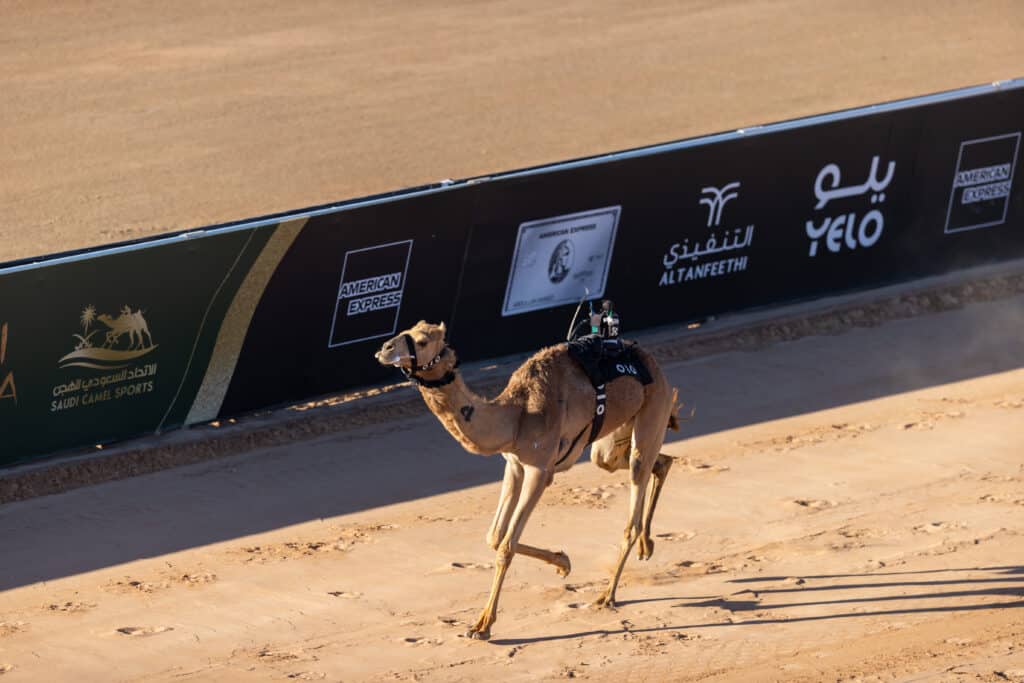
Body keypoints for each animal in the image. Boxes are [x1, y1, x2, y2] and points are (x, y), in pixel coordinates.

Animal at [375, 321, 681, 640]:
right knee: (645, 462)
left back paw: (607, 595)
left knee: (634, 493)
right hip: (611, 437)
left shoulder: (540, 470)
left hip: (652, 405)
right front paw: (563, 562)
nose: (384, 349)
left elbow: (506, 545)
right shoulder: (514, 465)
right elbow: (495, 536)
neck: (516, 416)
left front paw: (482, 626)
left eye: (422, 341)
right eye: (409, 329)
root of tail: (653, 363)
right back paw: (647, 543)